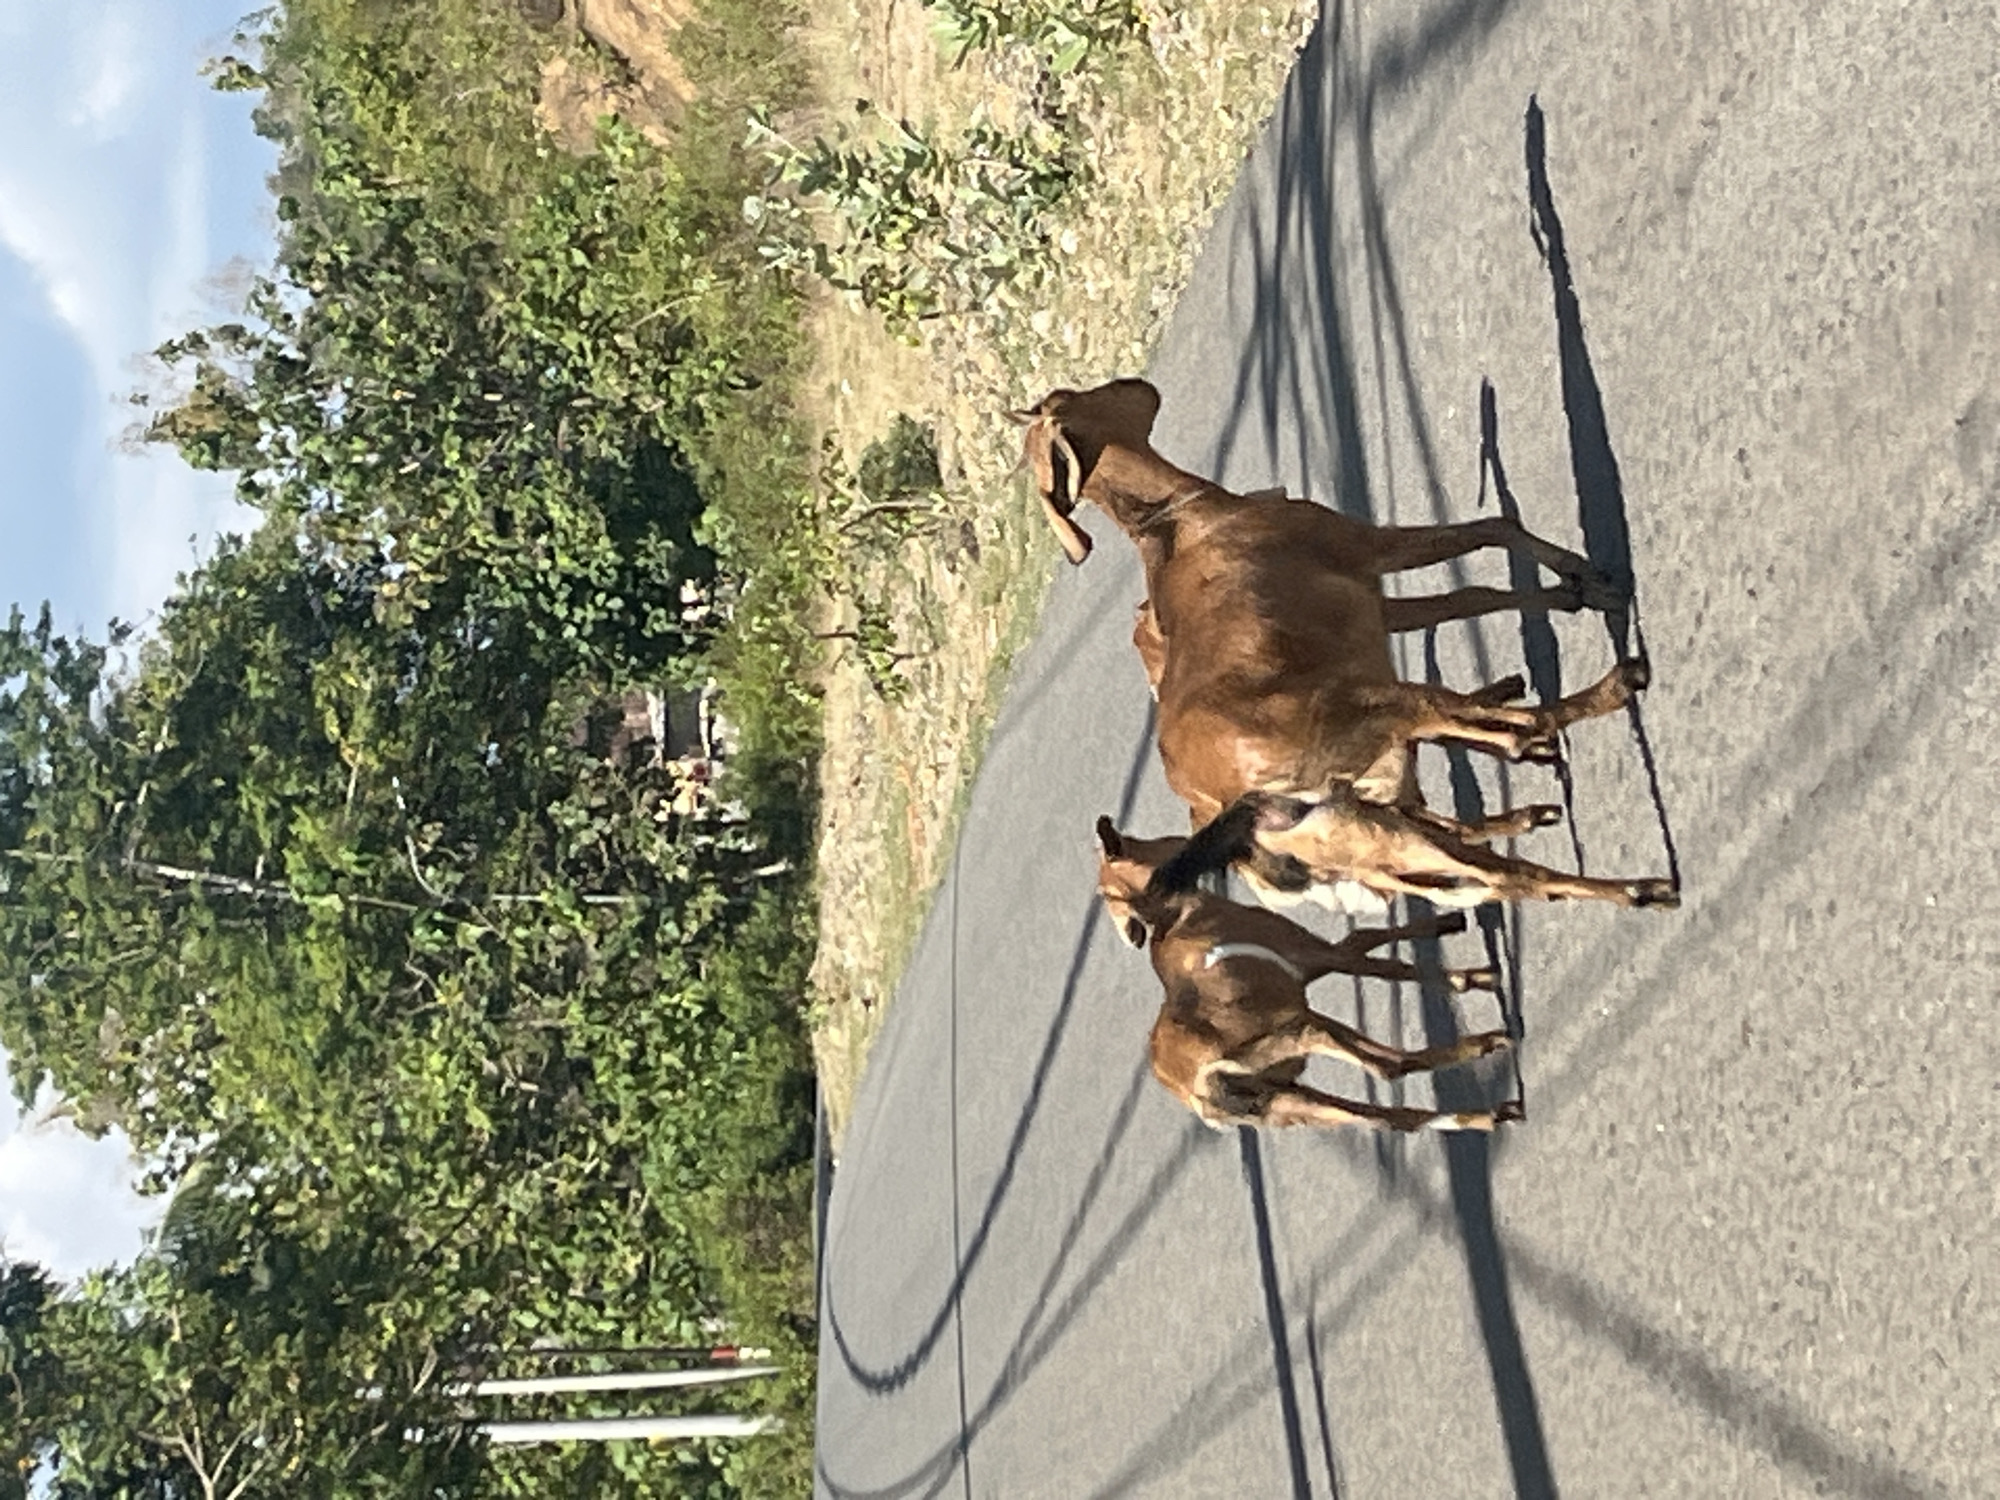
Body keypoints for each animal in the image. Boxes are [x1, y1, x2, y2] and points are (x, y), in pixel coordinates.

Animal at [1096, 817, 1520, 1133]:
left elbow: (1376, 942)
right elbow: (1380, 953)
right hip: (1298, 1034)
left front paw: (1456, 930)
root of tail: (1199, 1089)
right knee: (1388, 1068)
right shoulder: (1323, 954)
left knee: (1392, 1113)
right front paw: (1477, 972)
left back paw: (1495, 1109)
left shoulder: (1316, 965)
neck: (1180, 915)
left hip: (1288, 1097)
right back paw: (1495, 1045)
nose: (1190, 842)